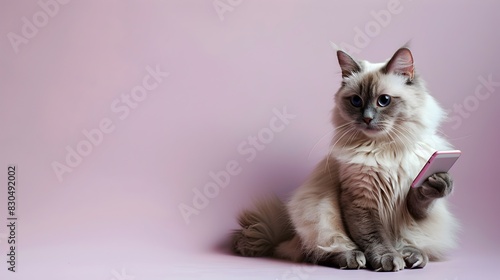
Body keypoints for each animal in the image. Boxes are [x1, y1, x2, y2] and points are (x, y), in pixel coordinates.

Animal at [232, 47, 458, 272]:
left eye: (384, 100)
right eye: (356, 101)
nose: (367, 118)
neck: (383, 148)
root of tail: (285, 237)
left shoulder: (409, 198)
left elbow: (420, 203)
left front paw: (440, 183)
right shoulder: (360, 201)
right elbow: (374, 238)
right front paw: (386, 259)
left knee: (409, 242)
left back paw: (413, 256)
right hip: (318, 214)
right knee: (316, 252)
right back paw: (352, 258)